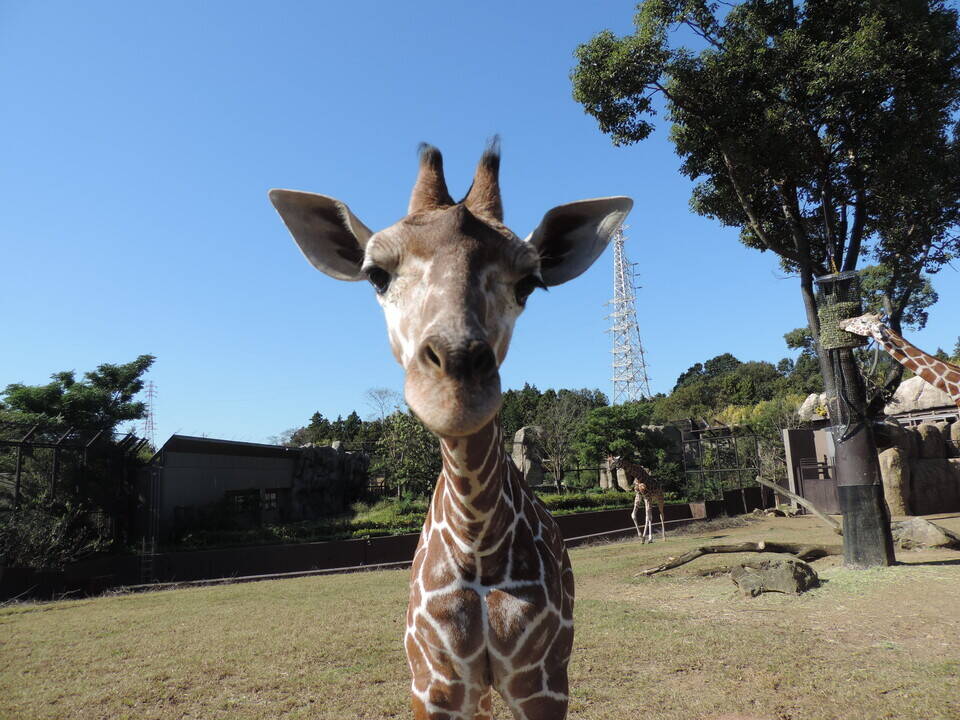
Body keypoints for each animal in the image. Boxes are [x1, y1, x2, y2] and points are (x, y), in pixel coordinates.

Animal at [270, 142, 632, 720]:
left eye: (529, 283)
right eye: (376, 274)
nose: (456, 392)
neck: (477, 544)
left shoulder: (544, 682)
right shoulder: (434, 683)